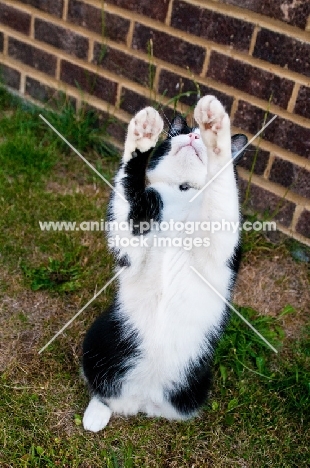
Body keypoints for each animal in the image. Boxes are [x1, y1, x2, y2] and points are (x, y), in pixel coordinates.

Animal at [81, 94, 247, 432]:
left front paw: (215, 127)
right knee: (103, 389)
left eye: (197, 137)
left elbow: (223, 190)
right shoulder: (132, 239)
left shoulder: (221, 242)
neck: (183, 193)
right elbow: (127, 191)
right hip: (99, 337)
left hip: (200, 379)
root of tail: (143, 401)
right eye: (177, 134)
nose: (194, 136)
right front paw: (143, 132)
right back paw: (95, 415)